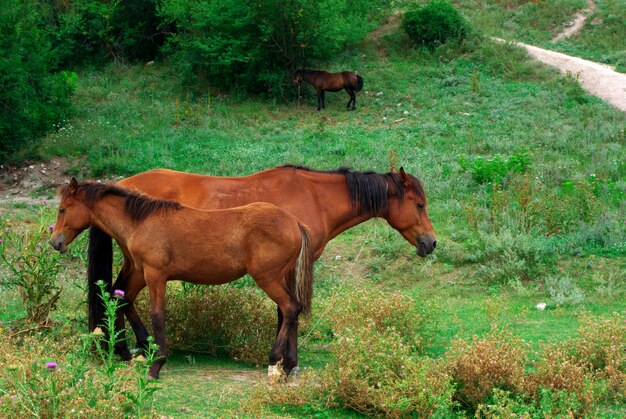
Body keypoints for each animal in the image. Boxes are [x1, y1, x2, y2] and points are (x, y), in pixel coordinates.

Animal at [51, 179, 312, 378]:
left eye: (62, 209)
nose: (55, 242)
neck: (140, 222)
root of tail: (294, 222)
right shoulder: (139, 273)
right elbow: (124, 301)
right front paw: (145, 348)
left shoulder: (155, 276)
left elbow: (157, 316)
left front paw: (157, 364)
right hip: (283, 278)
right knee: (290, 311)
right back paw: (289, 365)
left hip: (267, 278)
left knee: (289, 308)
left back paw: (274, 363)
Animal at [86, 166, 434, 362]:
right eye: (419, 204)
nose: (431, 243)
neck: (314, 197)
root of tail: (121, 185)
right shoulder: (285, 270)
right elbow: (287, 312)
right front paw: (288, 362)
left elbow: (287, 312)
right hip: (141, 265)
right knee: (120, 295)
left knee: (120, 295)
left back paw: (127, 348)